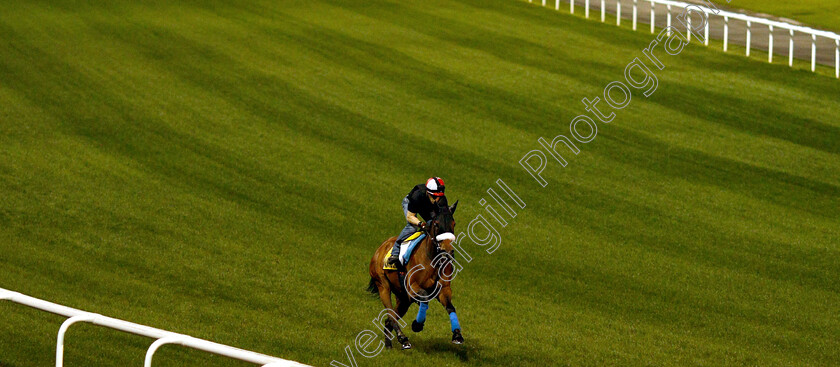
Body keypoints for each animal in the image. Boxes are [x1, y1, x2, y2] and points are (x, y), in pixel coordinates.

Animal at [366, 201, 462, 350]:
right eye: (436, 224)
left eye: (454, 223)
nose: (448, 251)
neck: (432, 259)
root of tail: (380, 248)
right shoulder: (412, 287)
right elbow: (425, 298)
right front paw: (417, 324)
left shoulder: (444, 289)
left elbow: (450, 307)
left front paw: (457, 335)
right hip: (383, 285)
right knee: (390, 314)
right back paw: (403, 338)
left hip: (403, 299)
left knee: (388, 320)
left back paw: (389, 346)